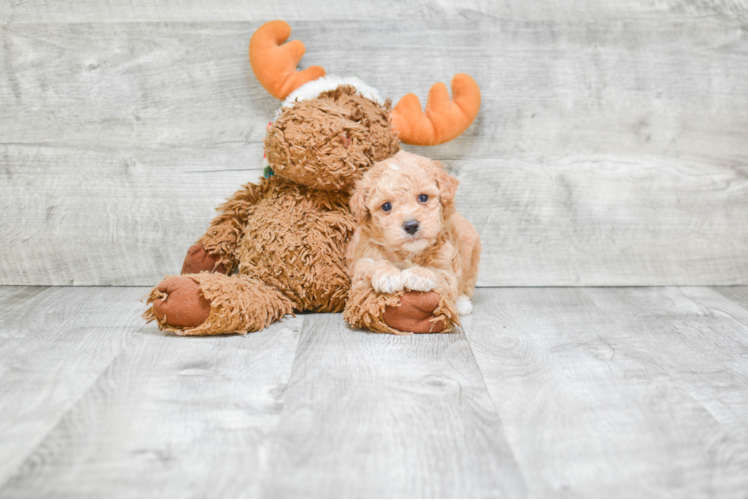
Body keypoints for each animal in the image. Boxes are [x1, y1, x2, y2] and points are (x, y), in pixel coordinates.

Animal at [348, 148, 482, 314]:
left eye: (423, 197)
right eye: (386, 206)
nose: (411, 225)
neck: (409, 253)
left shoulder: (448, 271)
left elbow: (438, 274)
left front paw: (416, 275)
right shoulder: (360, 264)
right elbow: (370, 265)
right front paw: (387, 274)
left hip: (472, 260)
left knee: (466, 286)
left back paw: (462, 304)